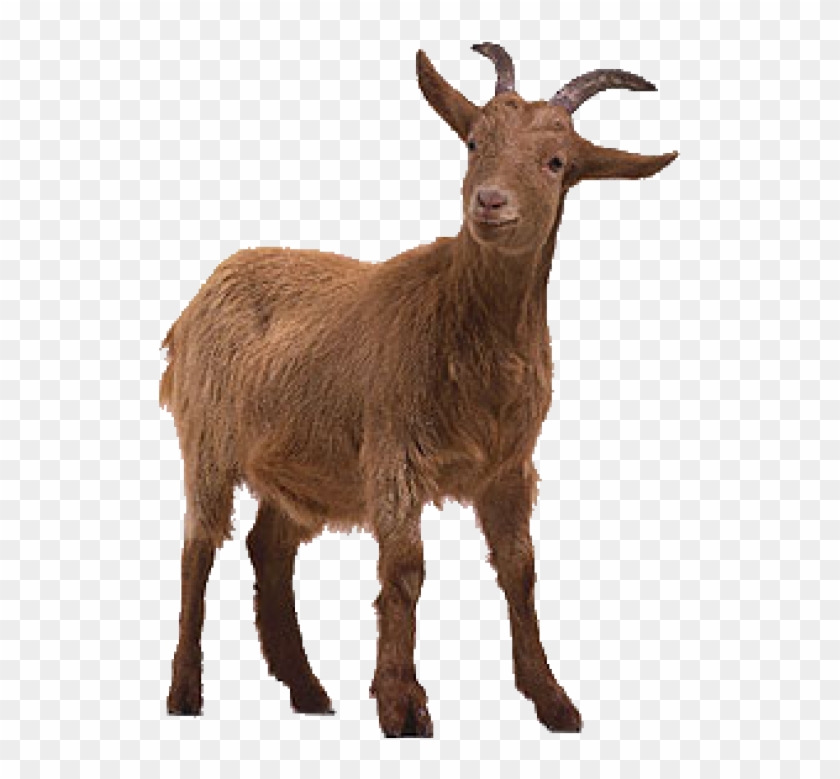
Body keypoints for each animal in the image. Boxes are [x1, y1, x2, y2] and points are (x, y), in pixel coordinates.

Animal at [161, 42, 677, 736]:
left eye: (557, 162)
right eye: (474, 141)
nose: (490, 202)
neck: (455, 317)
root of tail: (209, 286)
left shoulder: (510, 466)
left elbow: (520, 570)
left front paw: (552, 700)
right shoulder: (393, 452)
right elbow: (404, 569)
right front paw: (403, 704)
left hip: (301, 462)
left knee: (268, 547)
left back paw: (307, 689)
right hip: (209, 435)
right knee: (199, 547)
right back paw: (185, 692)